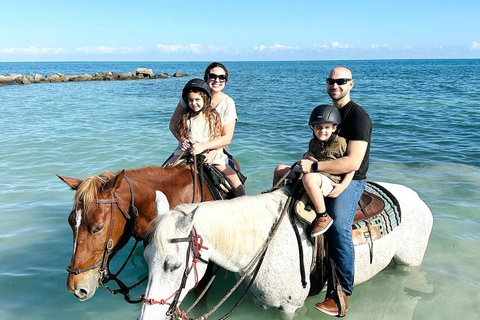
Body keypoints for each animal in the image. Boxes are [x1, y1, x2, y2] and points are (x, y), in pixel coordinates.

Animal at [138, 182, 432, 320]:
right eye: (146, 258)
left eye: (174, 266)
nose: (147, 316)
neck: (262, 243)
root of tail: (417, 198)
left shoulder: (290, 308)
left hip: (409, 262)